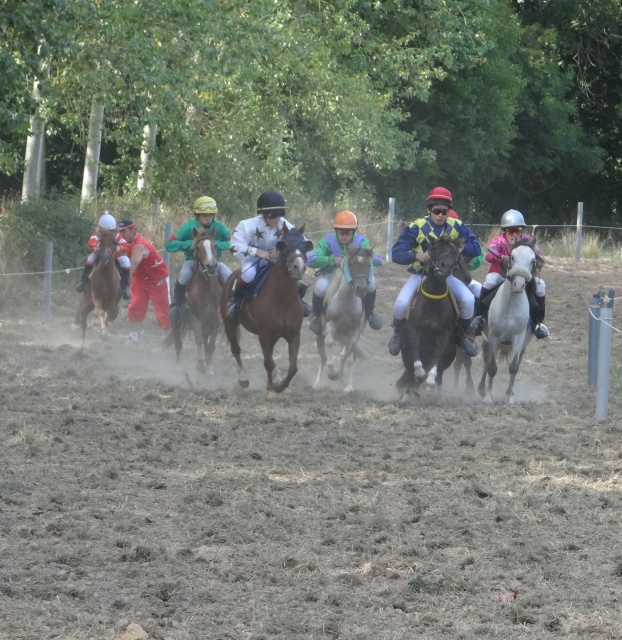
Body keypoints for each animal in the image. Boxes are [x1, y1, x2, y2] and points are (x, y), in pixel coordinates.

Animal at [168, 228, 224, 372]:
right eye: (198, 247)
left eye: (215, 246)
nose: (211, 267)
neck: (208, 289)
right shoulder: (195, 317)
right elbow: (198, 340)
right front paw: (200, 364)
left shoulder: (215, 321)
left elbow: (211, 346)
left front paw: (208, 367)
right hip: (177, 324)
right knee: (178, 344)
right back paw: (177, 365)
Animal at [222, 225, 314, 396]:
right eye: (285, 246)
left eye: (305, 246)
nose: (298, 268)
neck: (282, 299)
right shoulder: (264, 335)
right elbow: (268, 362)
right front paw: (273, 386)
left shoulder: (293, 335)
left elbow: (292, 367)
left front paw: (280, 385)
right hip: (229, 324)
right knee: (236, 350)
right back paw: (243, 378)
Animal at [314, 246, 372, 392]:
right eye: (351, 264)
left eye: (369, 265)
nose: (361, 288)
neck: (346, 303)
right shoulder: (330, 327)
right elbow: (329, 346)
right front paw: (332, 373)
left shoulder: (354, 333)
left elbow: (350, 358)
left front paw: (348, 387)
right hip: (319, 337)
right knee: (323, 358)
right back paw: (317, 383)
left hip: (345, 339)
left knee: (343, 357)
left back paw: (340, 382)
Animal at [400, 235, 464, 404]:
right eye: (433, 249)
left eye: (454, 252)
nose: (445, 266)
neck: (433, 304)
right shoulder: (414, 330)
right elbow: (416, 362)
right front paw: (421, 376)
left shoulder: (444, 334)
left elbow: (437, 359)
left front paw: (429, 381)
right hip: (404, 351)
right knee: (409, 371)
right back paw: (407, 394)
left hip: (451, 354)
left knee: (440, 372)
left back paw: (437, 396)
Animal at [480, 238, 544, 402]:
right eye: (512, 257)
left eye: (533, 260)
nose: (518, 285)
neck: (510, 306)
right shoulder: (494, 337)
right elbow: (492, 367)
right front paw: (488, 397)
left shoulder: (519, 338)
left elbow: (514, 367)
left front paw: (509, 397)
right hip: (487, 342)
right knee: (486, 362)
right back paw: (481, 389)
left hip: (521, 346)